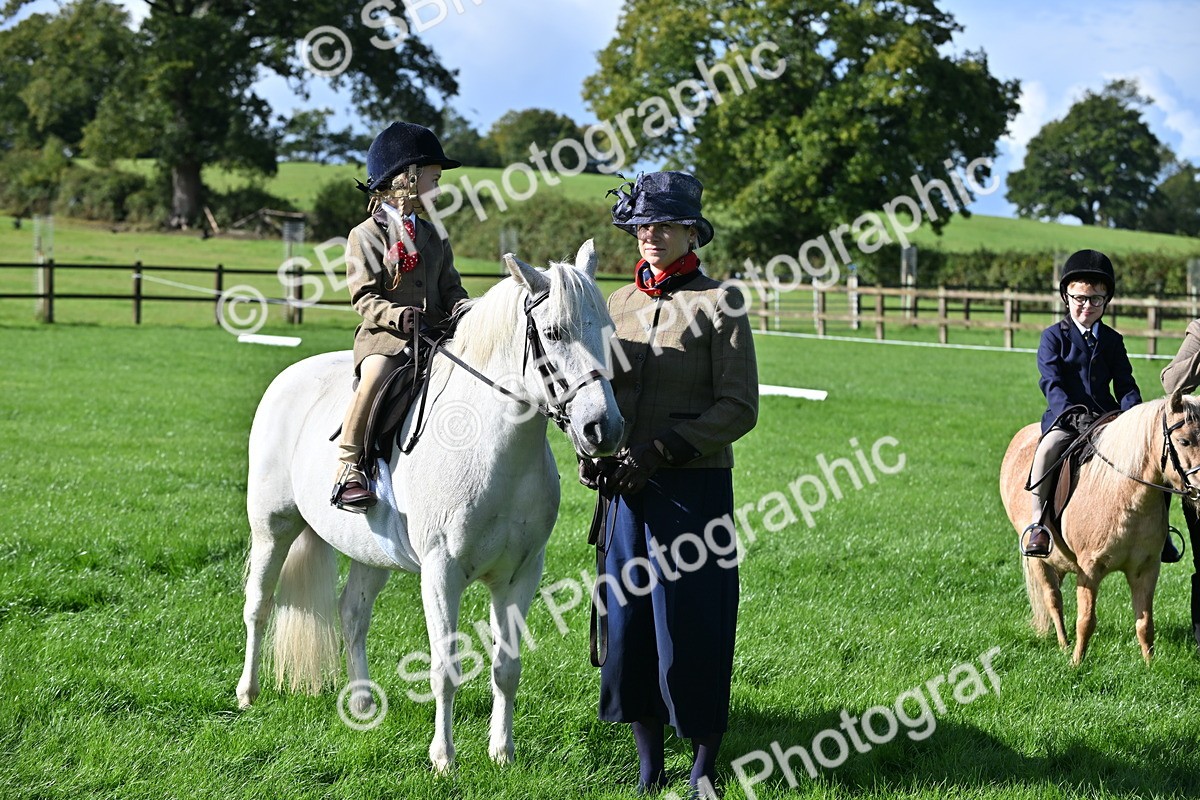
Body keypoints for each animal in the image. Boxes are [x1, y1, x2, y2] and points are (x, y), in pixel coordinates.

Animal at [235, 240, 625, 771]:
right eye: (553, 333)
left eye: (607, 330)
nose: (603, 429)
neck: (490, 449)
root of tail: (289, 377)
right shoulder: (442, 572)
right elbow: (445, 666)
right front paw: (444, 759)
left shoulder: (521, 574)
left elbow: (507, 665)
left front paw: (502, 752)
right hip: (272, 527)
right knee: (259, 604)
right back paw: (247, 693)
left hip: (370, 550)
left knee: (352, 614)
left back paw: (361, 702)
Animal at [999, 390, 1200, 665]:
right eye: (1184, 441)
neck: (1125, 496)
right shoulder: (1090, 569)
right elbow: (1085, 621)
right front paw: (1076, 663)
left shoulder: (1146, 569)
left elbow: (1145, 624)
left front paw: (1149, 665)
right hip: (1039, 560)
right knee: (1053, 600)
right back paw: (1063, 645)